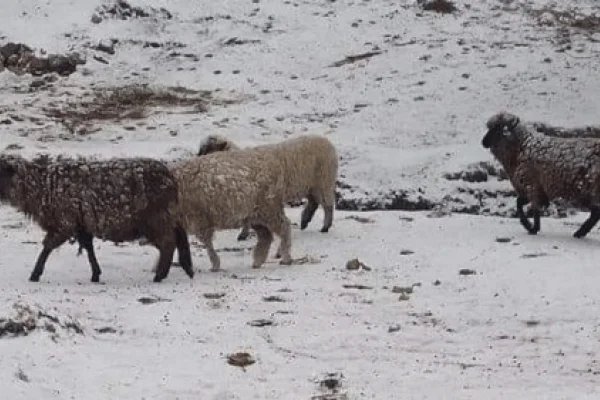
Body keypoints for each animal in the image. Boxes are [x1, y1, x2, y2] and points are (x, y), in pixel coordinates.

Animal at [0, 153, 192, 282]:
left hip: (155, 218)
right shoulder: (81, 223)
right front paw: (95, 274)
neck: (42, 188)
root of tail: (171, 179)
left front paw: (35, 274)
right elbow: (88, 247)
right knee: (178, 236)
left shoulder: (64, 221)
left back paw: (160, 276)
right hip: (164, 216)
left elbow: (47, 247)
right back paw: (185, 268)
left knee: (168, 243)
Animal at [197, 134, 338, 241]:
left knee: (328, 205)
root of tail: (329, 144)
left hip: (323, 181)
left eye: (208, 150)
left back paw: (325, 227)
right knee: (314, 203)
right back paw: (305, 222)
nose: (197, 161)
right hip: (311, 186)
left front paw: (243, 234)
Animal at [482, 111, 600, 239]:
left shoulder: (531, 186)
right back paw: (580, 233)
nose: (483, 142)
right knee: (595, 213)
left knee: (596, 213)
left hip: (589, 190)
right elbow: (520, 203)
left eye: (497, 128)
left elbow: (530, 208)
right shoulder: (533, 191)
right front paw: (531, 226)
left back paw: (579, 232)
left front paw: (532, 227)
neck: (521, 147)